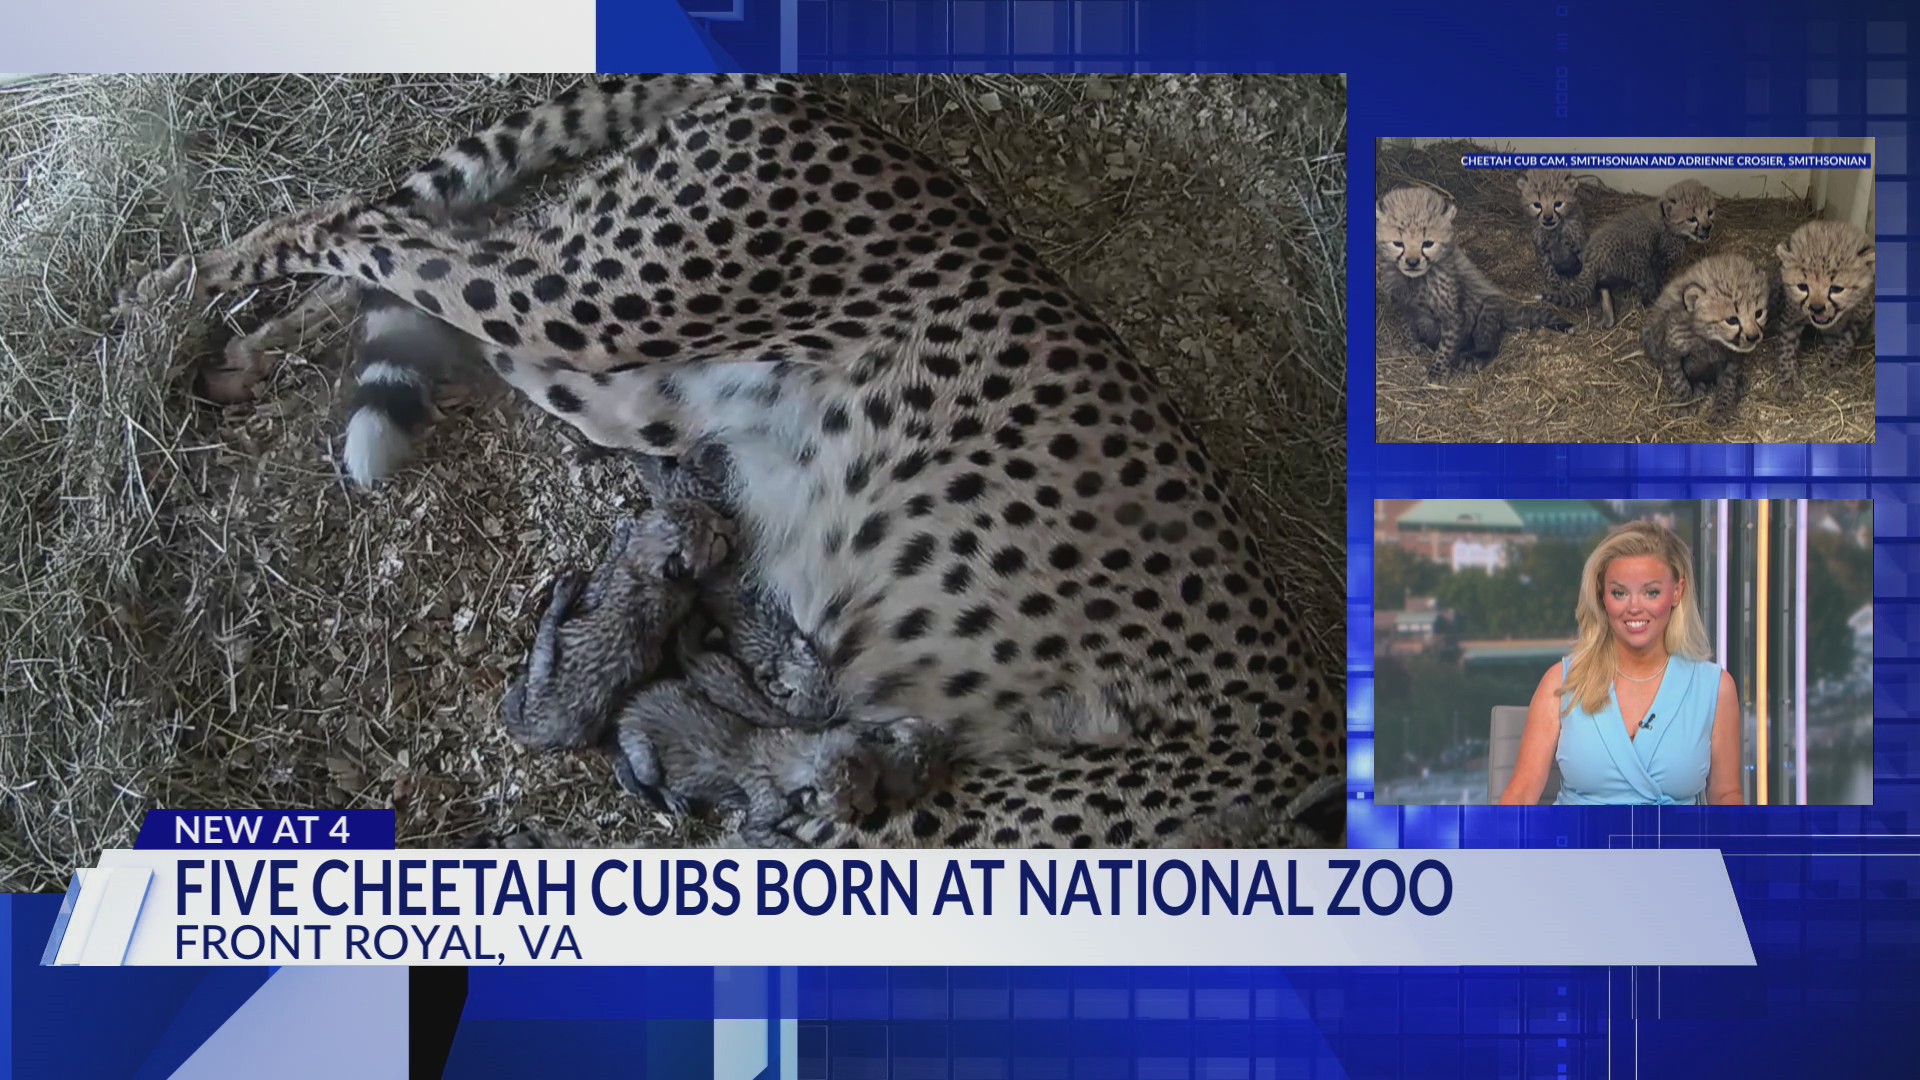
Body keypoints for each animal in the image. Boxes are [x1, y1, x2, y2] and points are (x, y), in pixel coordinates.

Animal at [120, 74, 1346, 850]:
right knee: (366, 223)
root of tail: (822, 103)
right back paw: (176, 293)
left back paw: (243, 349)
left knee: (416, 263)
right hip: (598, 303)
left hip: (624, 381)